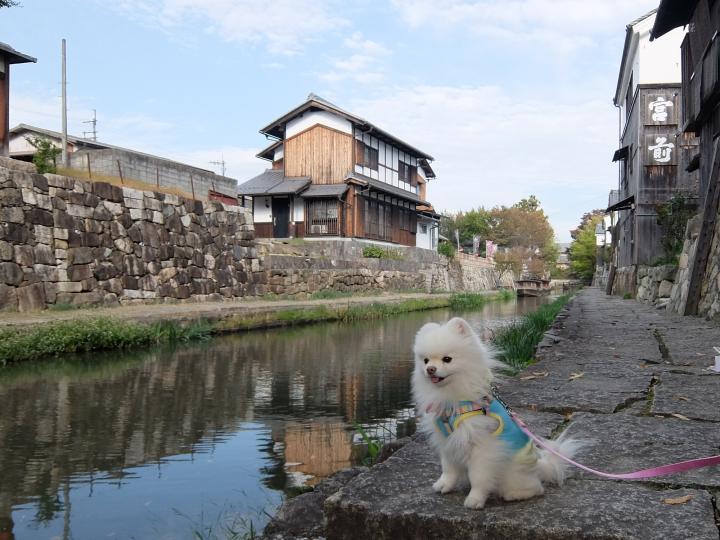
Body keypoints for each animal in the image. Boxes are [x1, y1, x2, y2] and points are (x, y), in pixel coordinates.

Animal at [414, 314, 576, 508]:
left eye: (447, 359)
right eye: (425, 360)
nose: (430, 369)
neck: (453, 398)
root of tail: (538, 465)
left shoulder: (481, 446)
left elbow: (478, 477)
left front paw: (475, 499)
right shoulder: (447, 440)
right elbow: (448, 468)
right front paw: (444, 485)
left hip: (512, 470)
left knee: (536, 488)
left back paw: (514, 494)